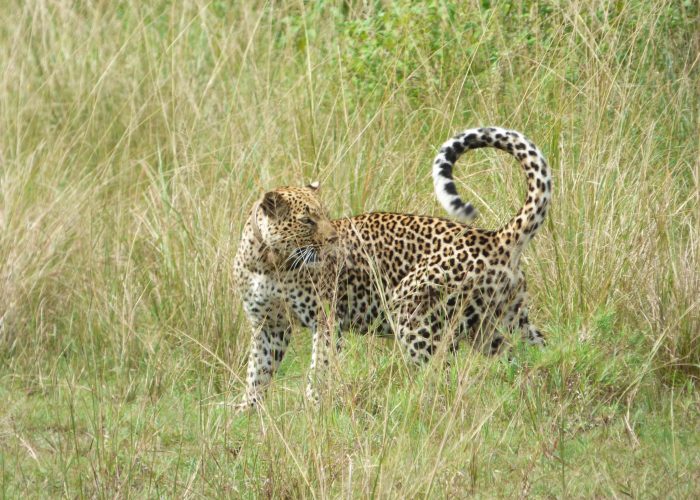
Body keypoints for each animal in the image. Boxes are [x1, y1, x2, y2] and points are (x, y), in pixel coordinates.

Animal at [232, 126, 551, 409]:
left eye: (325, 216)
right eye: (307, 221)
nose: (333, 239)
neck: (269, 263)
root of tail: (495, 237)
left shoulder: (325, 319)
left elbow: (320, 367)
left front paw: (314, 407)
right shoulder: (268, 326)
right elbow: (257, 371)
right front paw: (246, 412)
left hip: (414, 316)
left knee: (441, 377)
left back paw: (418, 407)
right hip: (500, 323)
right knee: (533, 356)